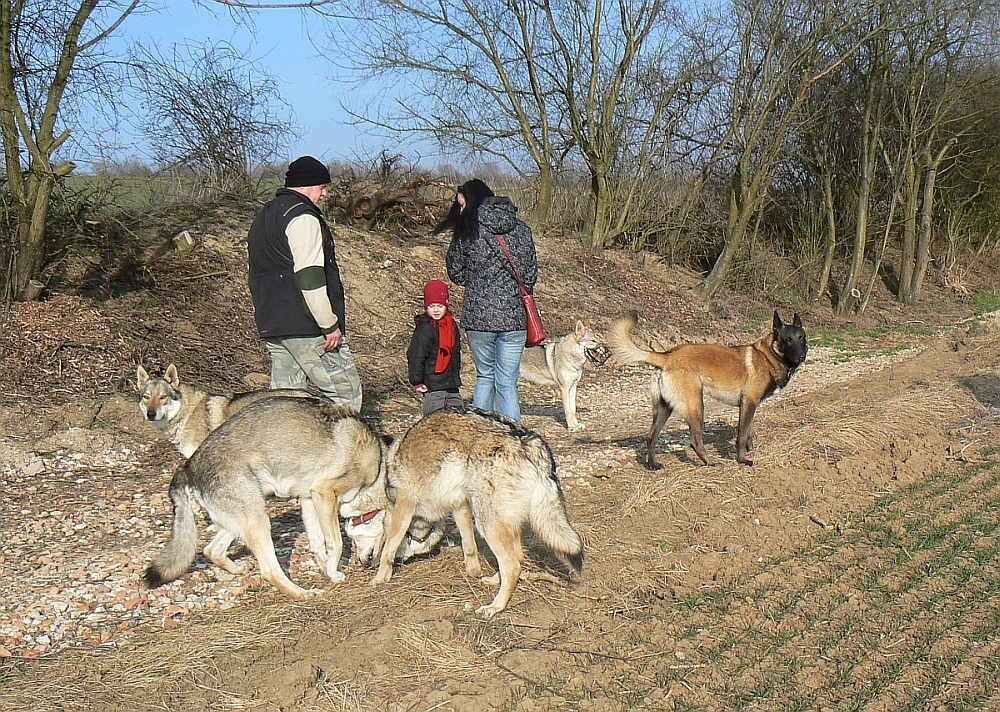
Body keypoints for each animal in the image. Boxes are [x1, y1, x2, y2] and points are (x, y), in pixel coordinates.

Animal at [604, 310, 808, 468]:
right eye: (787, 340)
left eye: (801, 338)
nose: (802, 356)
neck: (769, 355)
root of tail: (667, 356)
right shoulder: (748, 402)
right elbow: (742, 435)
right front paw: (742, 459)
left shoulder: (750, 405)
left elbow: (749, 430)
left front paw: (750, 448)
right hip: (696, 406)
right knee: (695, 441)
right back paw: (709, 462)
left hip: (663, 409)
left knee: (651, 437)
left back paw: (653, 465)